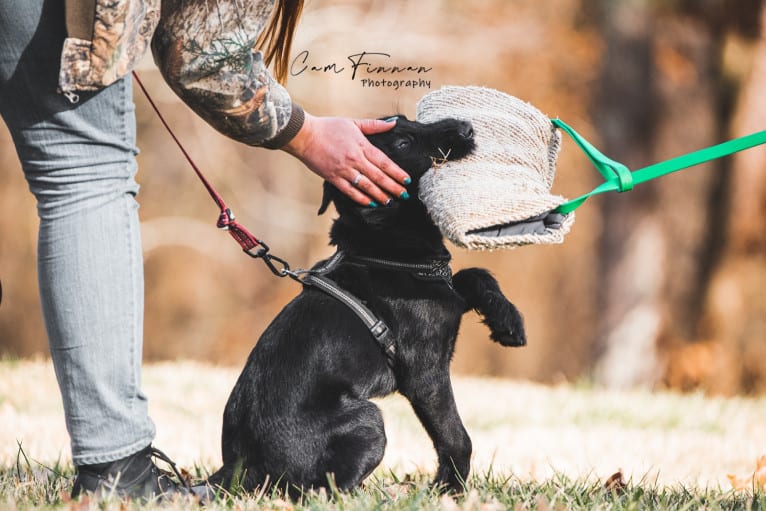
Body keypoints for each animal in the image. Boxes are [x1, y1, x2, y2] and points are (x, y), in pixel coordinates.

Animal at [213, 115, 532, 496]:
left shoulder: (445, 293)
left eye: (409, 121)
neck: (383, 251)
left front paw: (508, 322)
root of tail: (236, 467)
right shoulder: (426, 376)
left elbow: (474, 276)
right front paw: (449, 490)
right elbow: (457, 438)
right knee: (325, 489)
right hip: (368, 421)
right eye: (404, 144)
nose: (467, 127)